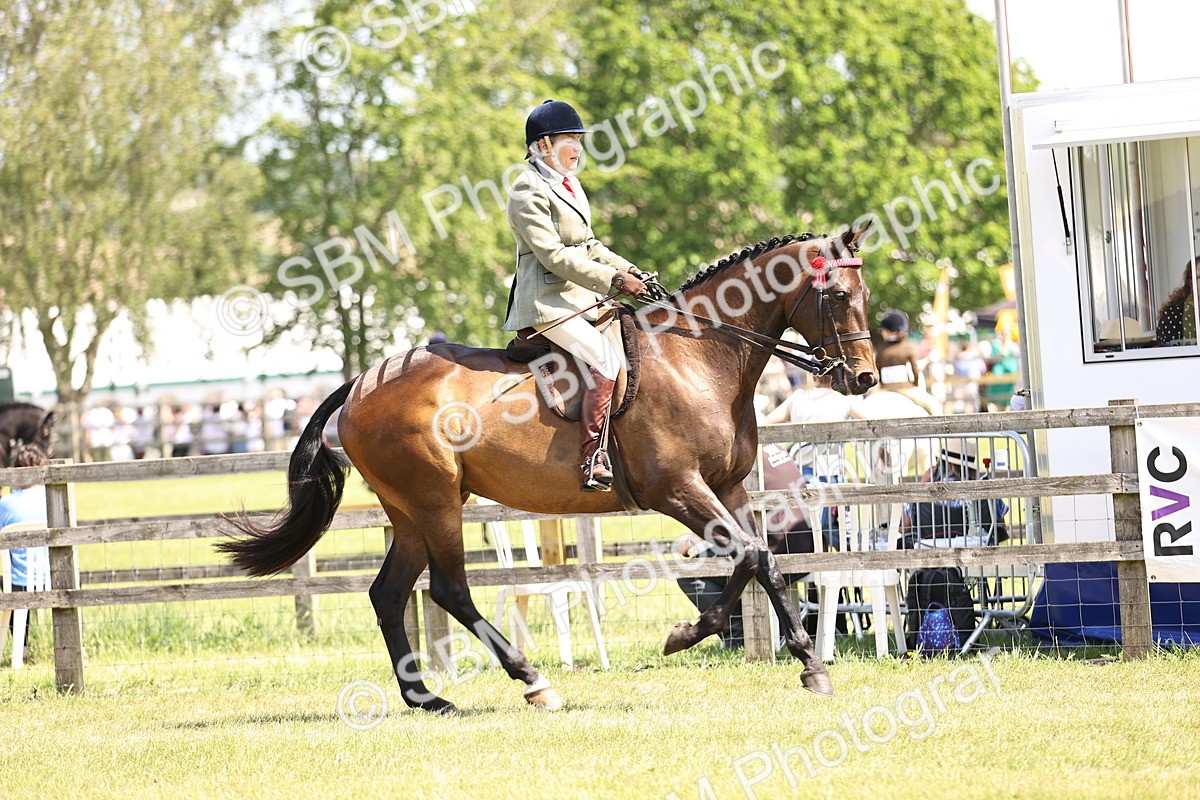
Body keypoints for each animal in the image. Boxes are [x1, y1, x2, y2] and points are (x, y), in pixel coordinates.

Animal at [219, 226, 877, 713]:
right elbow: (753, 555)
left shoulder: (728, 487)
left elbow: (760, 560)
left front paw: (800, 663)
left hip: (408, 512)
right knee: (449, 590)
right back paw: (533, 681)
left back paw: (426, 698)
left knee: (388, 593)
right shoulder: (677, 490)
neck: (696, 357)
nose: (864, 378)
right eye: (838, 296)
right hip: (435, 502)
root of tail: (362, 381)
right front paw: (697, 638)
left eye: (864, 294)